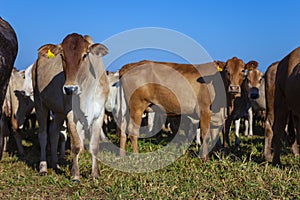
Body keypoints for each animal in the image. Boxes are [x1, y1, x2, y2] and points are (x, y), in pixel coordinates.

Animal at [32, 33, 109, 180]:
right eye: (62, 55)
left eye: (85, 55)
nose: (70, 89)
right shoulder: (71, 113)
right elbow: (76, 145)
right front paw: (75, 175)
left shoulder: (99, 113)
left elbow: (94, 145)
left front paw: (95, 174)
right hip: (40, 103)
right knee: (43, 135)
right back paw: (43, 168)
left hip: (58, 112)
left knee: (54, 133)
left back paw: (56, 164)